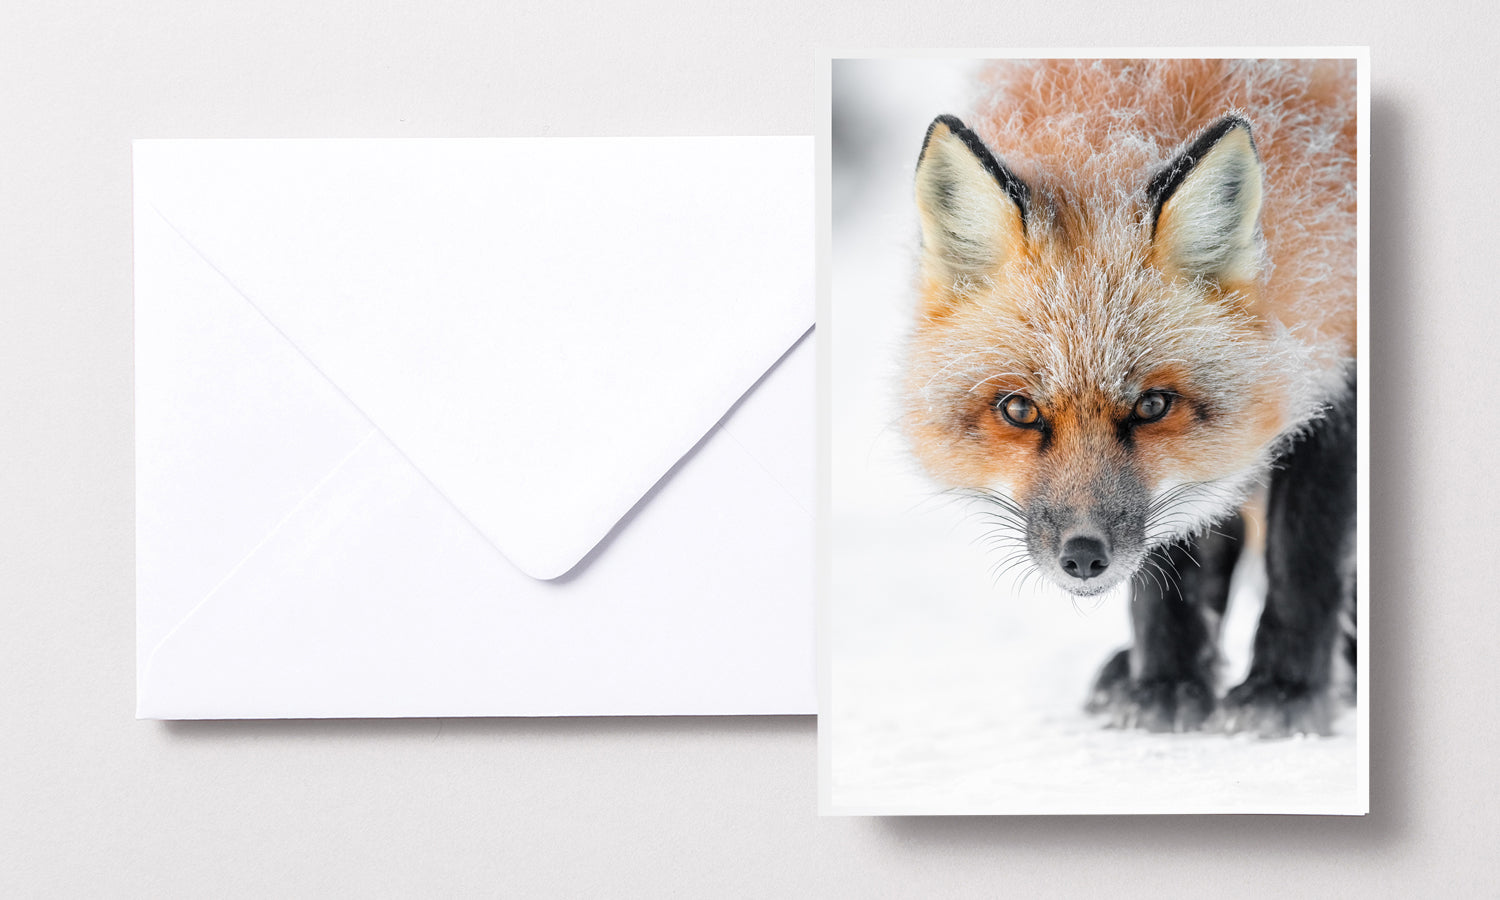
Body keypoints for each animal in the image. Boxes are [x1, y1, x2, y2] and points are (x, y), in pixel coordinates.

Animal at [902, 59, 1357, 737]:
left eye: (1151, 407)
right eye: (1021, 410)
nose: (1084, 558)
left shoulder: (1339, 366)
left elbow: (1303, 558)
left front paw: (1287, 690)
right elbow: (1170, 562)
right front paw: (1166, 681)